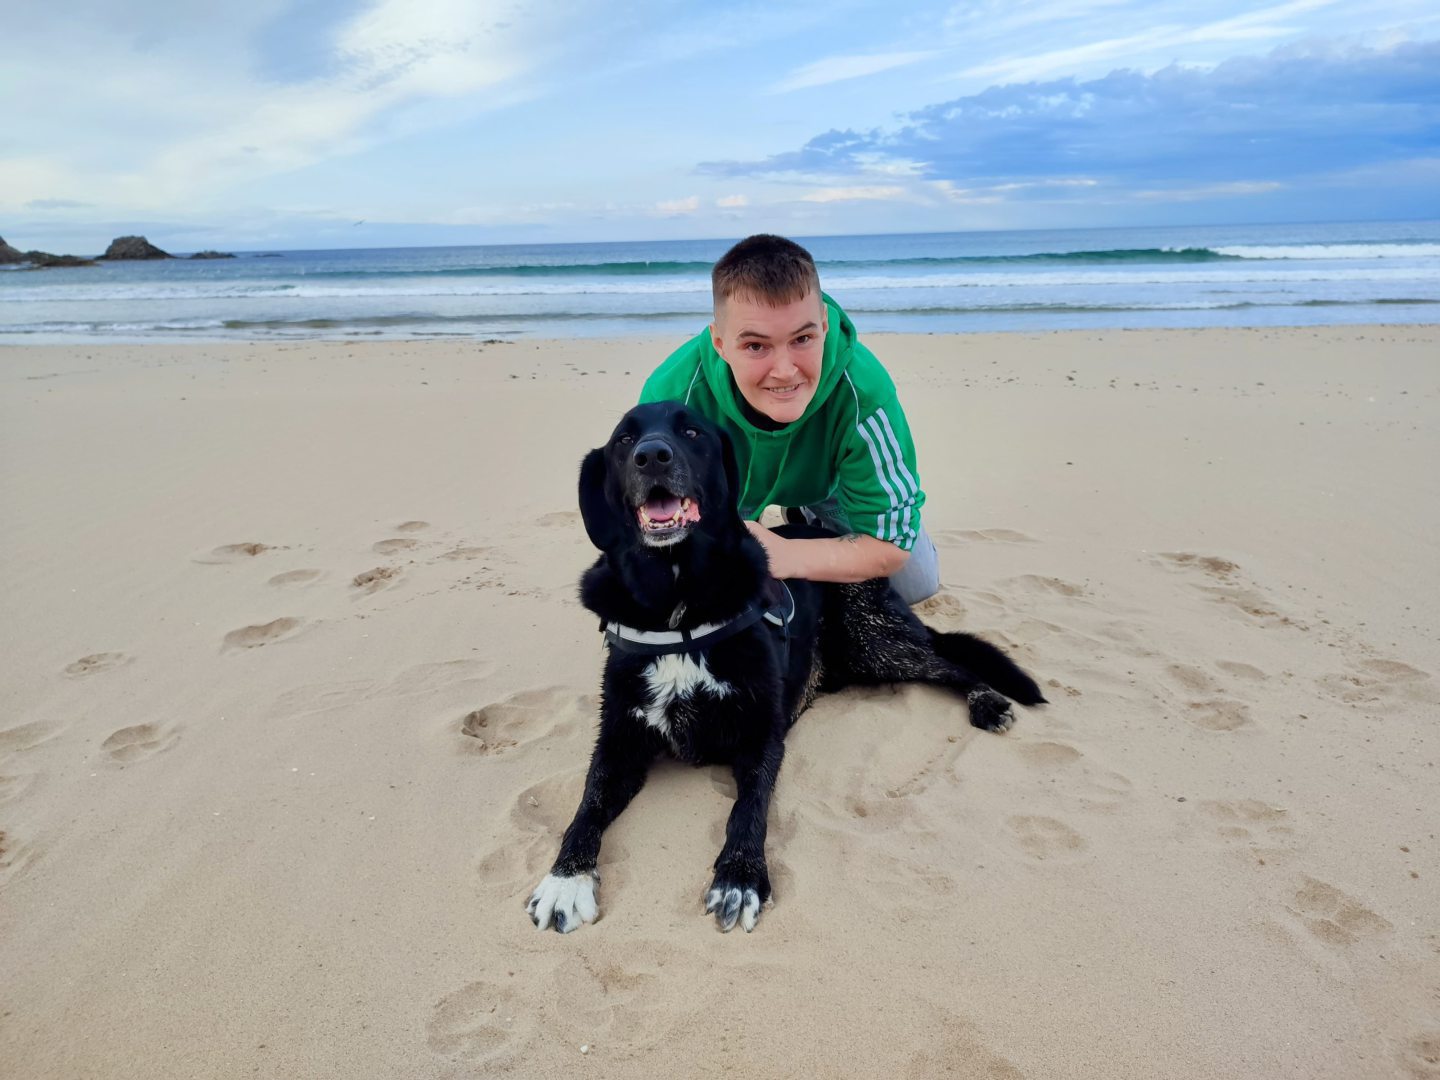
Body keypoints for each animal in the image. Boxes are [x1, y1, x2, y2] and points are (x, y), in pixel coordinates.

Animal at [529, 403, 1048, 933]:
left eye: (692, 431)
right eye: (623, 440)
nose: (652, 455)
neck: (679, 606)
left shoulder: (762, 735)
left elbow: (749, 807)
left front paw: (739, 877)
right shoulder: (618, 742)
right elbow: (587, 805)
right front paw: (566, 880)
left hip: (872, 640)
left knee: (949, 664)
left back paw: (987, 701)